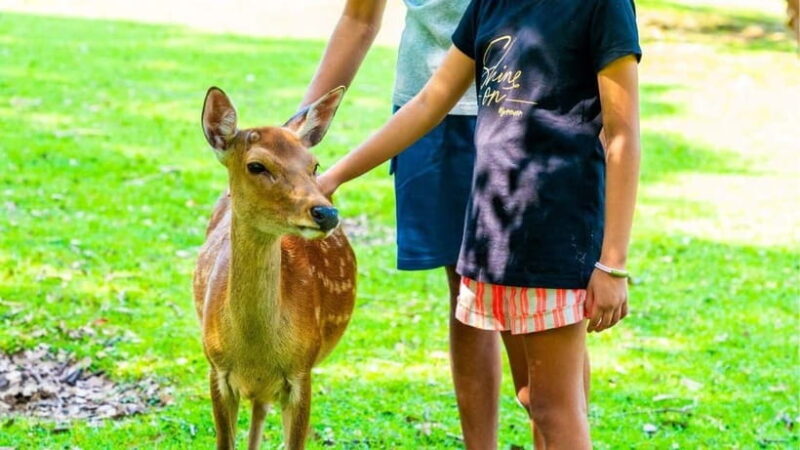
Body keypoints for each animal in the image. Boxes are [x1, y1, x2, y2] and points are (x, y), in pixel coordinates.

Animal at [193, 86, 356, 449]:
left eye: (314, 164)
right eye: (256, 165)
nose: (326, 213)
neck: (255, 350)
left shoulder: (301, 372)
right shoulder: (216, 370)